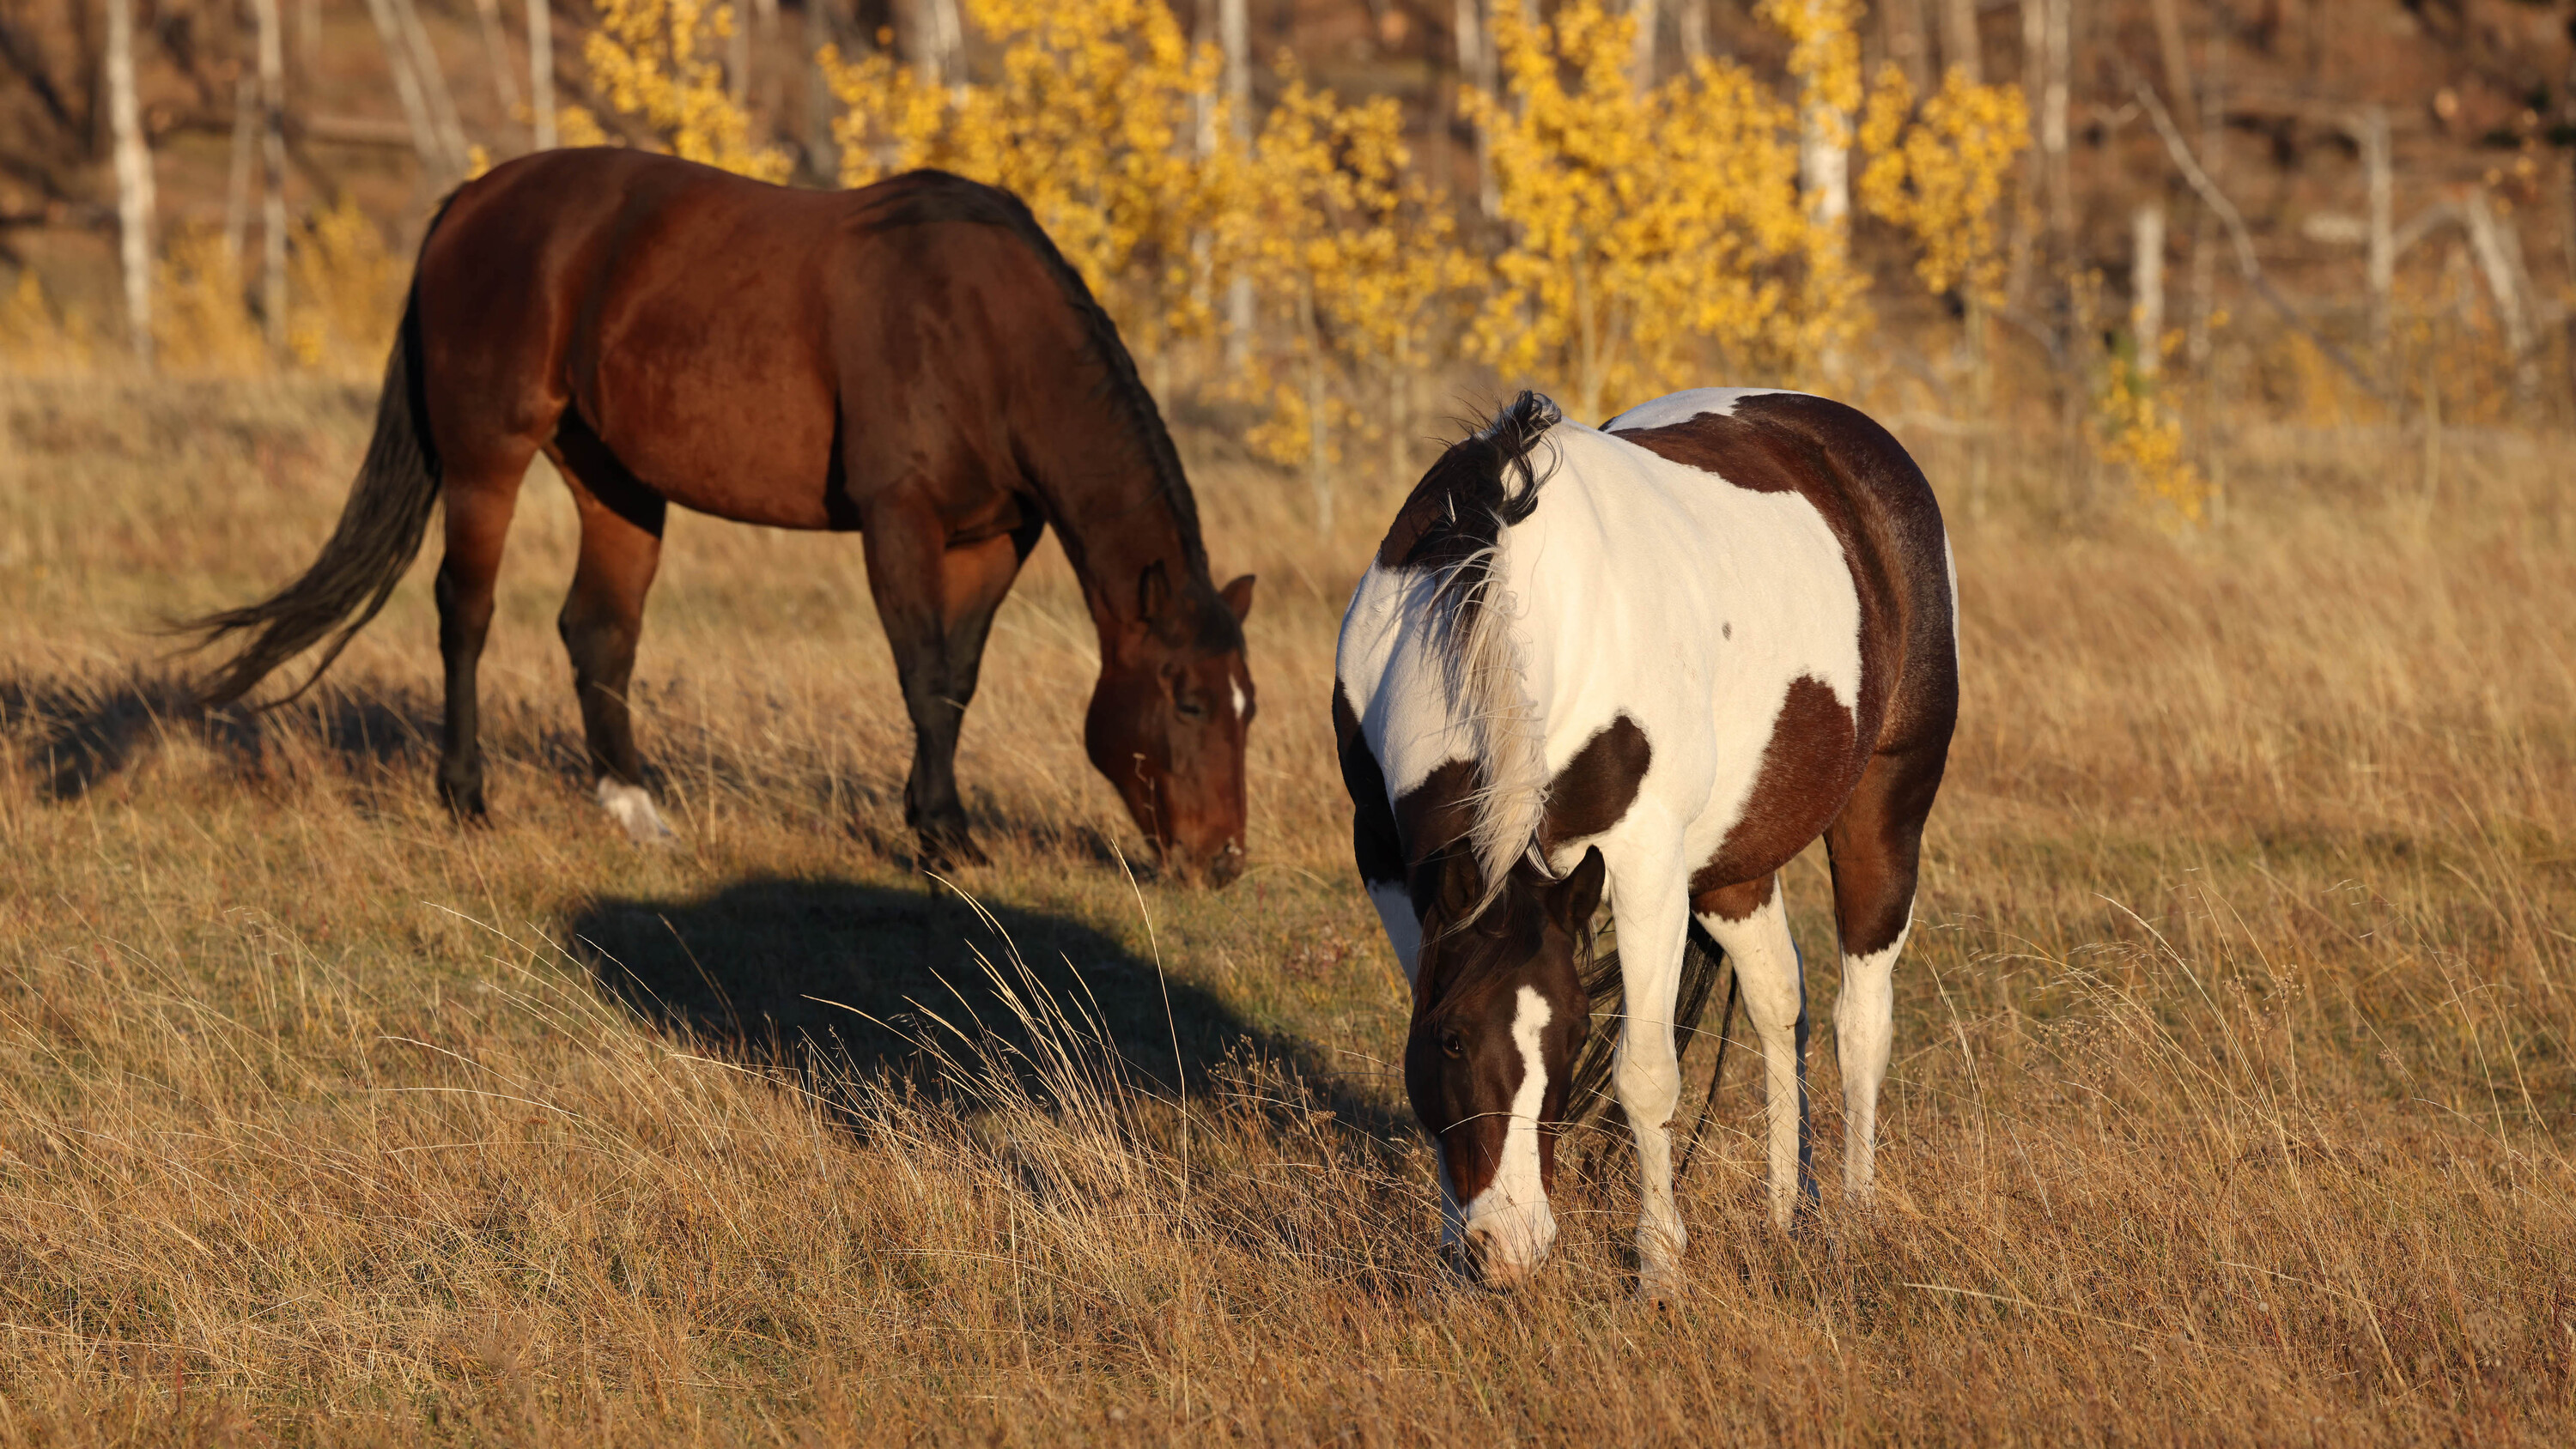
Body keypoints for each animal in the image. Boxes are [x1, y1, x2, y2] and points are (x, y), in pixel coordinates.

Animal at [186, 150, 1257, 883]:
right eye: (1189, 701)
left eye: (1248, 704)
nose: (1221, 860)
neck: (980, 328)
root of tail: (471, 200)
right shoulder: (897, 518)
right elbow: (920, 673)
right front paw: (943, 836)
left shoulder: (996, 537)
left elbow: (955, 681)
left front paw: (935, 821)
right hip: (487, 456)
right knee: (467, 613)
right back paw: (467, 797)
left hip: (614, 477)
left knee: (599, 631)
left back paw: (638, 810)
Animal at [1333, 388, 1956, 1294]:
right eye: (1451, 1039)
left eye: (1573, 1039)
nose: (1509, 1248)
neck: (1496, 598)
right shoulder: (1387, 861)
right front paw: (1453, 1255)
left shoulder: (1642, 861)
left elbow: (1647, 1075)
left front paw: (1659, 1268)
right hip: (1732, 862)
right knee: (1779, 999)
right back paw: (1785, 1213)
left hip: (1884, 806)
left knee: (1860, 1022)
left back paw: (1852, 1221)